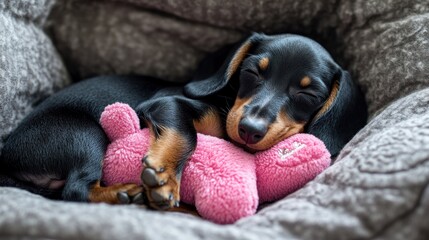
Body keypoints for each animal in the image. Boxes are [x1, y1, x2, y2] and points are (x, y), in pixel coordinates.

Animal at [0, 32, 368, 209]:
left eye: (308, 94)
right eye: (252, 72)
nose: (249, 130)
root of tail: (7, 155)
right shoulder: (166, 102)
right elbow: (187, 134)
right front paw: (164, 179)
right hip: (84, 134)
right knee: (76, 190)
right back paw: (125, 193)